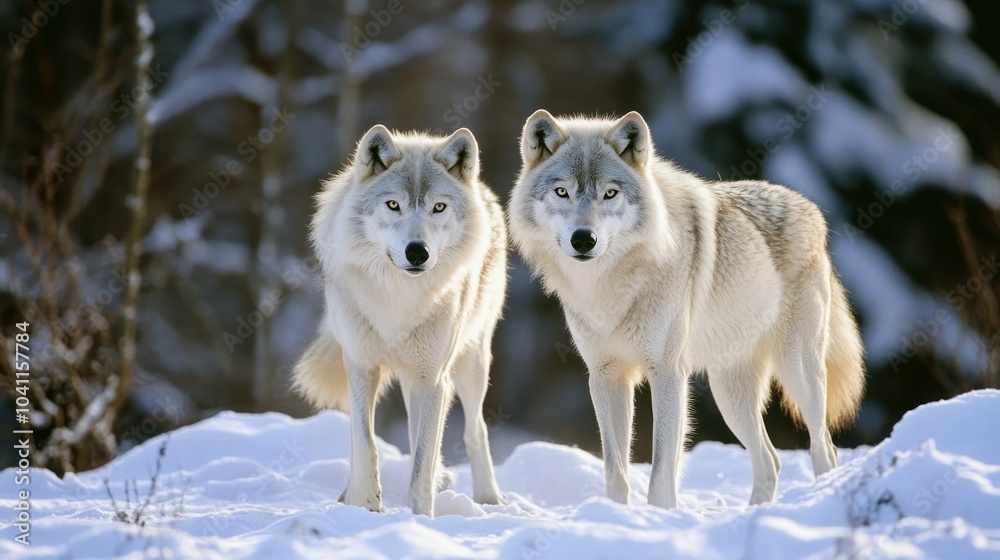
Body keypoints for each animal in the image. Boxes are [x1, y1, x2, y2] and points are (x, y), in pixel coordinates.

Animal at [293, 125, 507, 517]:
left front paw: (419, 516)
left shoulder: (432, 378)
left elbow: (423, 457)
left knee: (474, 430)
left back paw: (488, 498)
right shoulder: (361, 366)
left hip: (469, 364)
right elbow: (365, 444)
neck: (398, 299)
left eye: (438, 206)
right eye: (393, 204)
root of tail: (482, 188)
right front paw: (363, 504)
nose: (417, 252)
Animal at [508, 110, 865, 508]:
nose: (584, 239)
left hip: (798, 372)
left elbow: (662, 471)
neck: (612, 287)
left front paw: (659, 514)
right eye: (562, 192)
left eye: (610, 193)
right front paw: (614, 514)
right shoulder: (606, 376)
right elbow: (615, 470)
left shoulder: (667, 373)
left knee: (823, 448)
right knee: (770, 460)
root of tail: (812, 209)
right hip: (730, 394)